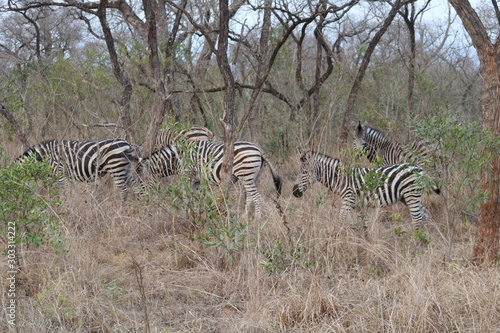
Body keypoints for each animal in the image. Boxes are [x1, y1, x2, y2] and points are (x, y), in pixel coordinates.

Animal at [139, 139, 284, 219]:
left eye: (142, 181)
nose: (144, 201)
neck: (178, 158)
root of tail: (259, 150)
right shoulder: (196, 180)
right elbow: (195, 197)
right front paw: (195, 214)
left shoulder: (187, 175)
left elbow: (186, 196)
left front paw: (186, 214)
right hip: (252, 176)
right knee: (249, 196)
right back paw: (244, 217)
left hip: (246, 174)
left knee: (256, 196)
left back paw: (256, 220)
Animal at [292, 150, 440, 223]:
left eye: (304, 172)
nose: (294, 192)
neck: (341, 180)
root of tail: (420, 168)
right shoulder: (357, 205)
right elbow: (361, 224)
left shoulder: (348, 200)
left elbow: (341, 221)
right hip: (406, 197)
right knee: (424, 214)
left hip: (411, 194)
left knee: (418, 218)